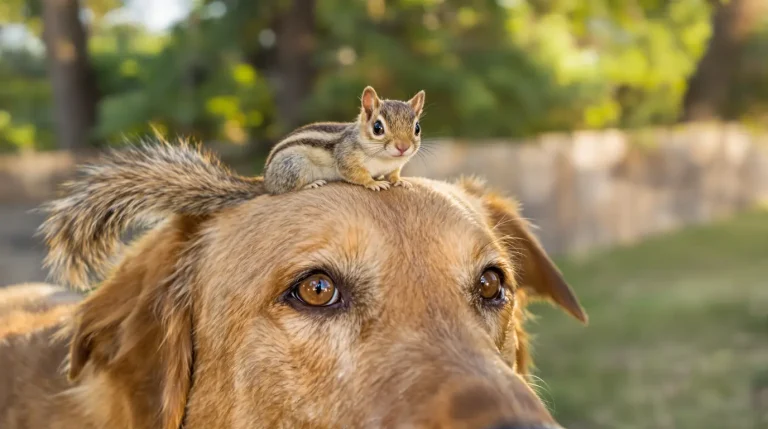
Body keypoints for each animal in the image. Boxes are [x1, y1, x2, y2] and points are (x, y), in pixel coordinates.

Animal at [264, 86, 425, 194]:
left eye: (417, 128)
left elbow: (393, 174)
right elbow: (357, 174)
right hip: (295, 165)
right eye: (377, 128)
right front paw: (372, 182)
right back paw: (310, 184)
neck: (385, 159)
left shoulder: (394, 166)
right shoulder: (346, 158)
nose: (403, 147)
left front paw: (400, 181)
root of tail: (267, 179)